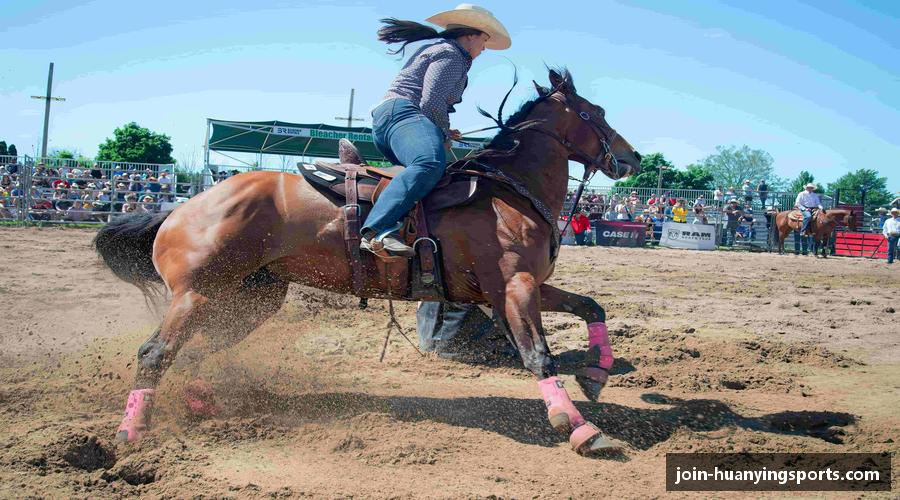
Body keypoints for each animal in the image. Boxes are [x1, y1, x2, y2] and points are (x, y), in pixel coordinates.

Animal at [95, 68, 644, 456]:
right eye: (594, 112)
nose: (632, 157)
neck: (505, 192)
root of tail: (181, 208)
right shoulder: (514, 287)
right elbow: (538, 356)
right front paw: (580, 428)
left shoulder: (518, 286)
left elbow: (591, 306)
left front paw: (596, 375)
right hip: (198, 294)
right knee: (156, 353)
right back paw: (132, 432)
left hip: (252, 301)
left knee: (197, 353)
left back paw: (199, 404)